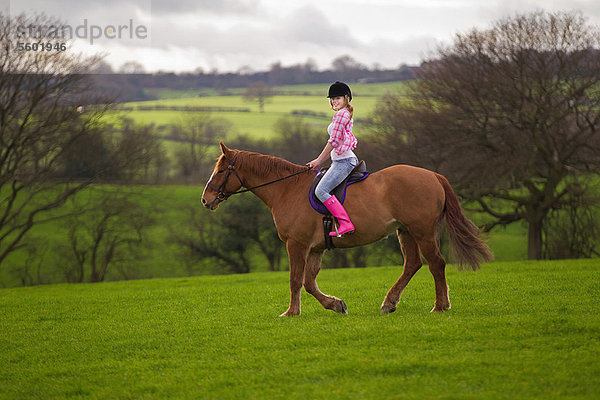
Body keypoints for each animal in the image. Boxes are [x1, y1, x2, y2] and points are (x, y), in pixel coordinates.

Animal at [202, 143, 492, 316]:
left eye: (221, 170)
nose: (206, 200)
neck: (287, 189)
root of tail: (433, 175)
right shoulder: (315, 248)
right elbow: (309, 282)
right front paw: (335, 304)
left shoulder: (296, 244)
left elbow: (295, 280)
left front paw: (291, 312)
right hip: (405, 232)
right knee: (413, 264)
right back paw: (389, 303)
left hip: (422, 231)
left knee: (436, 264)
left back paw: (440, 306)